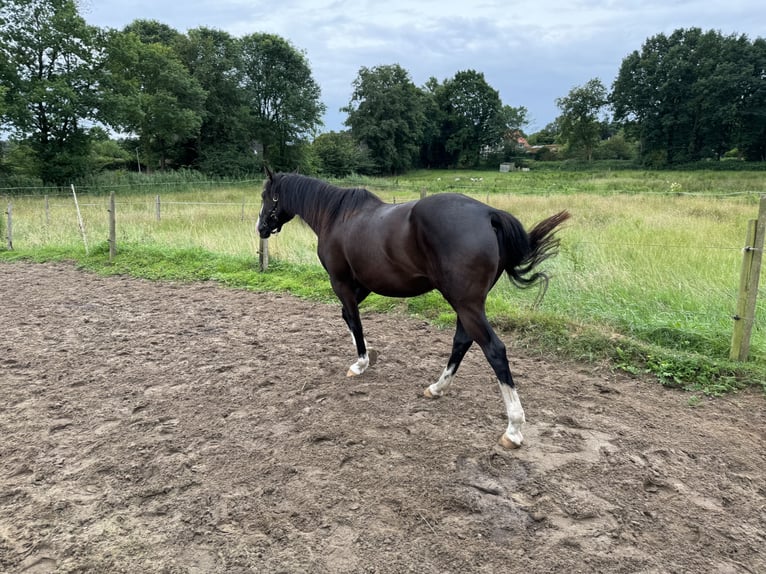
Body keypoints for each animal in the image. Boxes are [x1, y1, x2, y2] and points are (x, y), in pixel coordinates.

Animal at [258, 171, 568, 450]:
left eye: (266, 196)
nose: (260, 228)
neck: (337, 217)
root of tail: (489, 214)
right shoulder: (364, 284)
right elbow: (348, 317)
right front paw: (368, 355)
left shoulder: (342, 282)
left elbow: (354, 320)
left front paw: (360, 363)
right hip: (467, 304)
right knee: (462, 341)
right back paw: (437, 388)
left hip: (466, 303)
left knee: (494, 350)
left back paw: (513, 429)